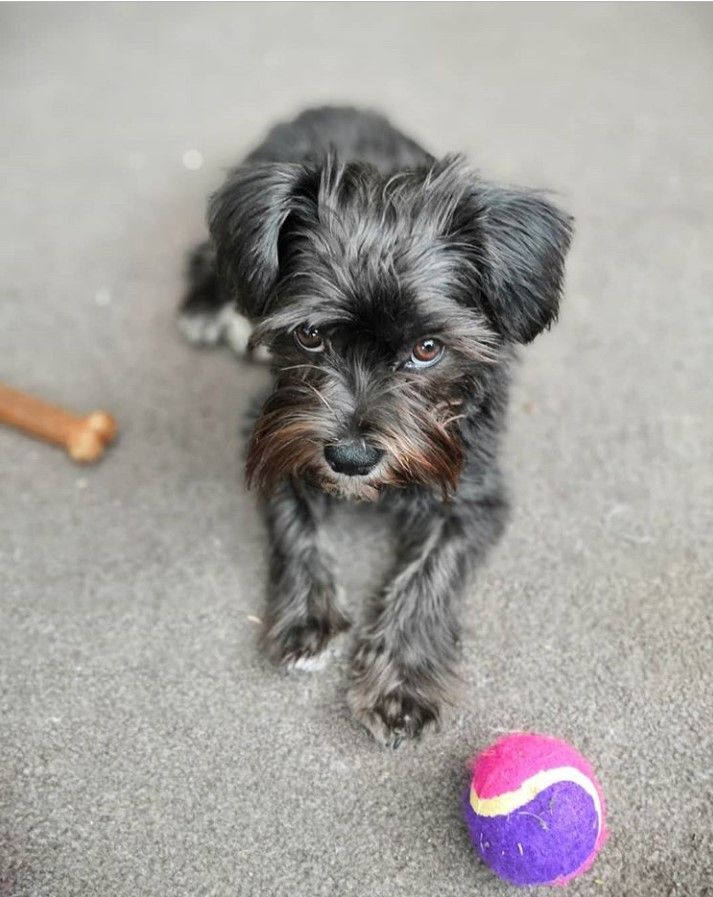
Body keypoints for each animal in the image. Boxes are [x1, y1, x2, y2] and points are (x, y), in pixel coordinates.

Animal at [179, 105, 572, 744]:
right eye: (310, 335)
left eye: (428, 348)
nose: (352, 459)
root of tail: (330, 105)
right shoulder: (274, 431)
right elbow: (294, 520)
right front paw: (306, 616)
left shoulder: (474, 493)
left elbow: (429, 575)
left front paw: (402, 682)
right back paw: (206, 309)